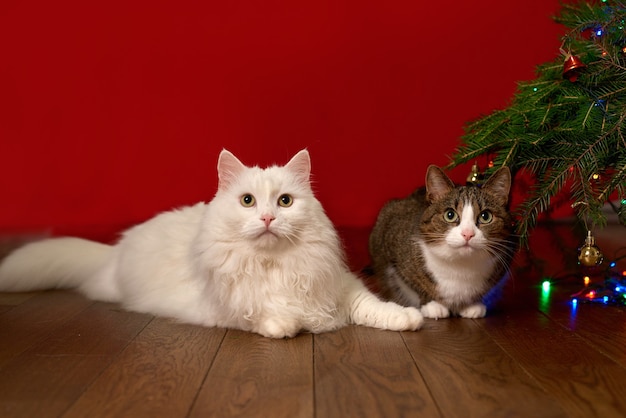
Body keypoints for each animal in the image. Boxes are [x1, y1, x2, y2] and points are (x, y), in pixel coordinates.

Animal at [0, 149, 422, 336]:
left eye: (284, 202)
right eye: (248, 201)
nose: (267, 219)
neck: (274, 264)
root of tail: (117, 248)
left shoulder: (339, 284)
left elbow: (371, 306)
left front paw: (407, 319)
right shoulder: (231, 305)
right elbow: (270, 316)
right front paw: (290, 325)